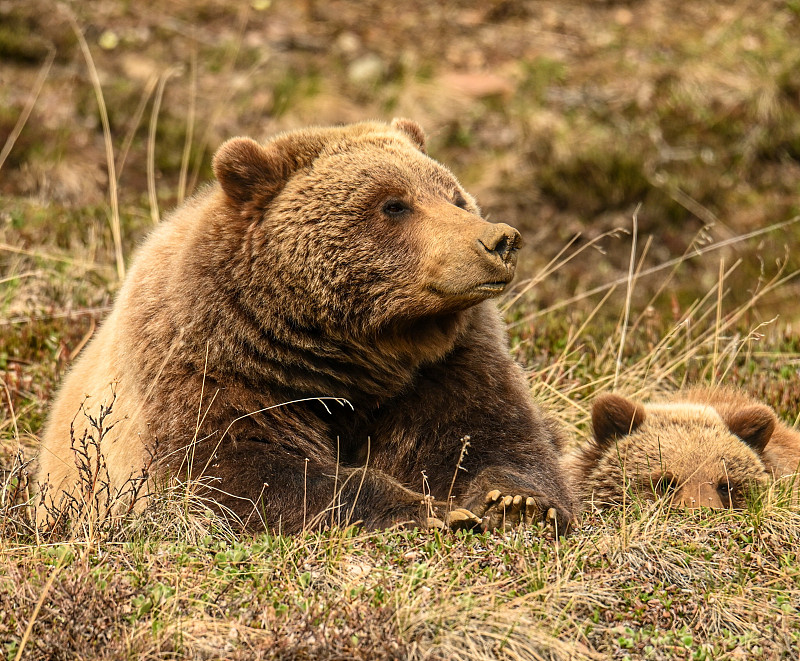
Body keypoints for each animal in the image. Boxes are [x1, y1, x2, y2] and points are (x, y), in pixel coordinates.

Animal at [39, 117, 576, 532]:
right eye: (394, 204)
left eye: (456, 198)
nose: (499, 240)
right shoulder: (211, 367)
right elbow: (240, 469)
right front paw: (431, 509)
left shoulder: (445, 365)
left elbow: (488, 435)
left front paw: (517, 502)